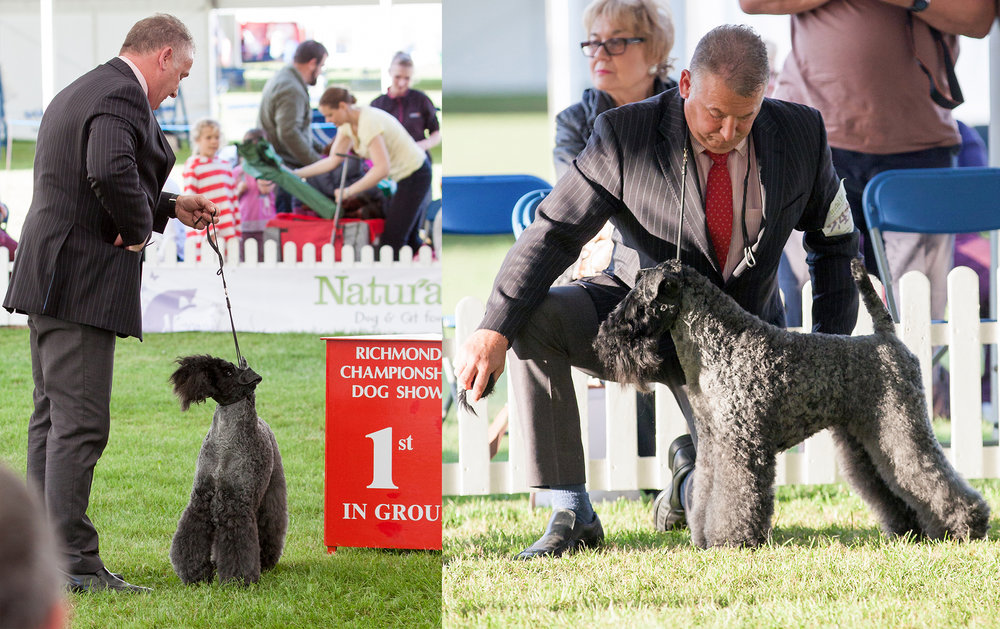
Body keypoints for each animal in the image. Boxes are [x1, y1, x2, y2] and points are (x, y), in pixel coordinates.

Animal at [170, 356, 288, 580]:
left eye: (228, 372)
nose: (186, 369)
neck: (225, 441)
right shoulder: (201, 500)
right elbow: (191, 533)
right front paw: (195, 573)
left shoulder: (236, 504)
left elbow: (238, 545)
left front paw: (236, 578)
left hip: (270, 493)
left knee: (271, 526)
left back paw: (266, 560)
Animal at [596, 258, 988, 548]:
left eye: (639, 299)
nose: (603, 338)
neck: (721, 343)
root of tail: (886, 338)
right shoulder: (713, 443)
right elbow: (707, 491)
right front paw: (705, 535)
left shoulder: (741, 443)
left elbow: (737, 493)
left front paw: (731, 538)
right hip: (867, 438)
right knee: (888, 482)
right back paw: (909, 529)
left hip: (902, 427)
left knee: (930, 472)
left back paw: (967, 525)